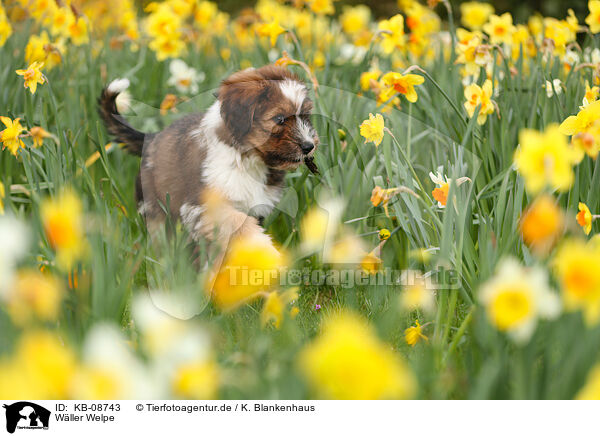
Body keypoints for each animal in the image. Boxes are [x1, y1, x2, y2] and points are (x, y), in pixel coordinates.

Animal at [98, 66, 318, 247]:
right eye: (279, 119)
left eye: (305, 116)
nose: (309, 146)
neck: (246, 159)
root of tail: (151, 138)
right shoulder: (204, 206)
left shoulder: (256, 207)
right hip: (155, 208)